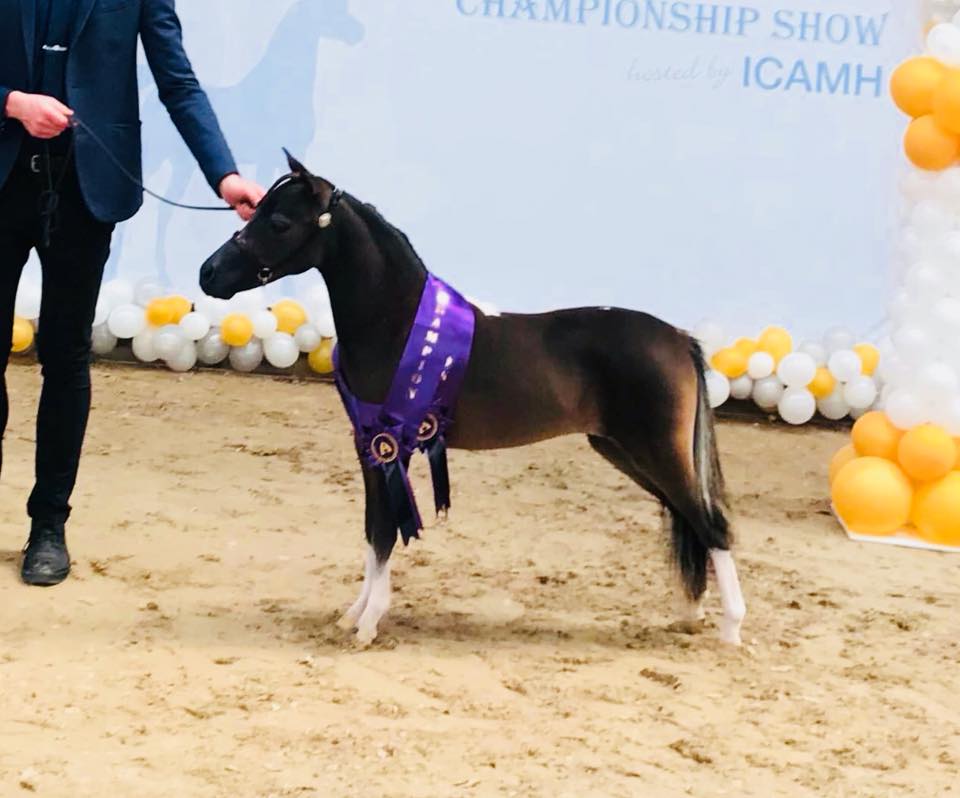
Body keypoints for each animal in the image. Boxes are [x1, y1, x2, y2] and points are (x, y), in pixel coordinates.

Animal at [198, 153, 747, 648]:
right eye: (256, 212)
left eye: (280, 222)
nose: (208, 274)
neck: (396, 323)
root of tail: (680, 339)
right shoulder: (369, 446)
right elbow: (373, 531)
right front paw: (352, 615)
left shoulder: (390, 444)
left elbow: (384, 533)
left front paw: (368, 624)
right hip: (625, 452)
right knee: (689, 521)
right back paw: (688, 615)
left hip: (656, 451)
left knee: (711, 525)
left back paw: (730, 630)